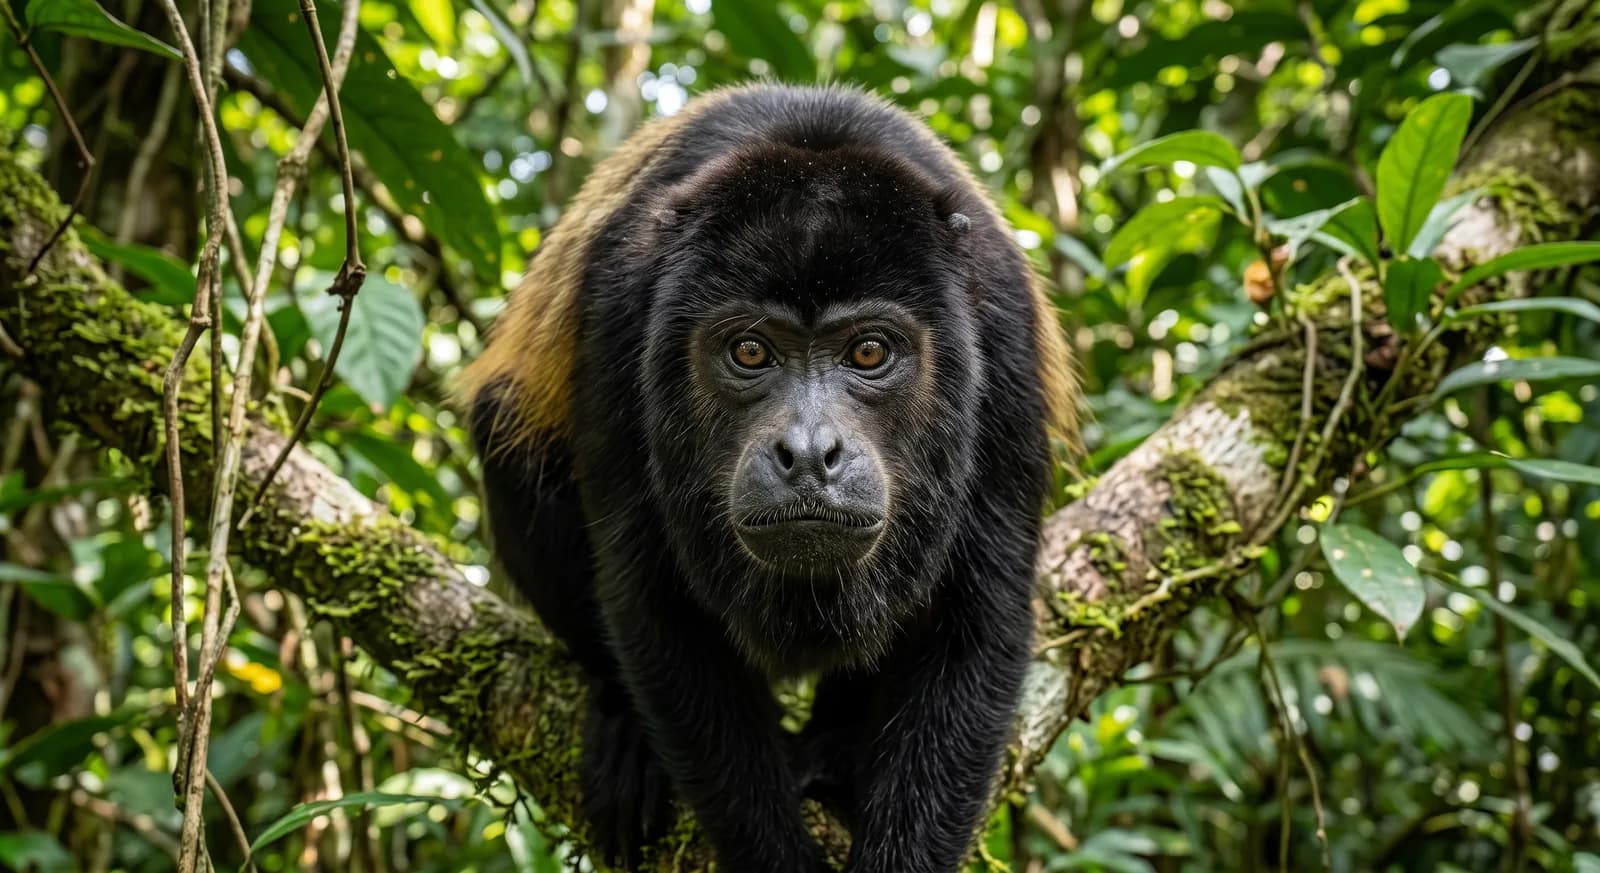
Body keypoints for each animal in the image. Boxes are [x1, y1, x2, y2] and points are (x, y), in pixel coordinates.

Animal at [462, 83, 1076, 872]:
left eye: (869, 351)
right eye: (750, 351)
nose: (809, 452)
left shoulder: (1001, 328)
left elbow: (976, 623)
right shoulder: (620, 307)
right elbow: (657, 610)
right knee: (504, 427)